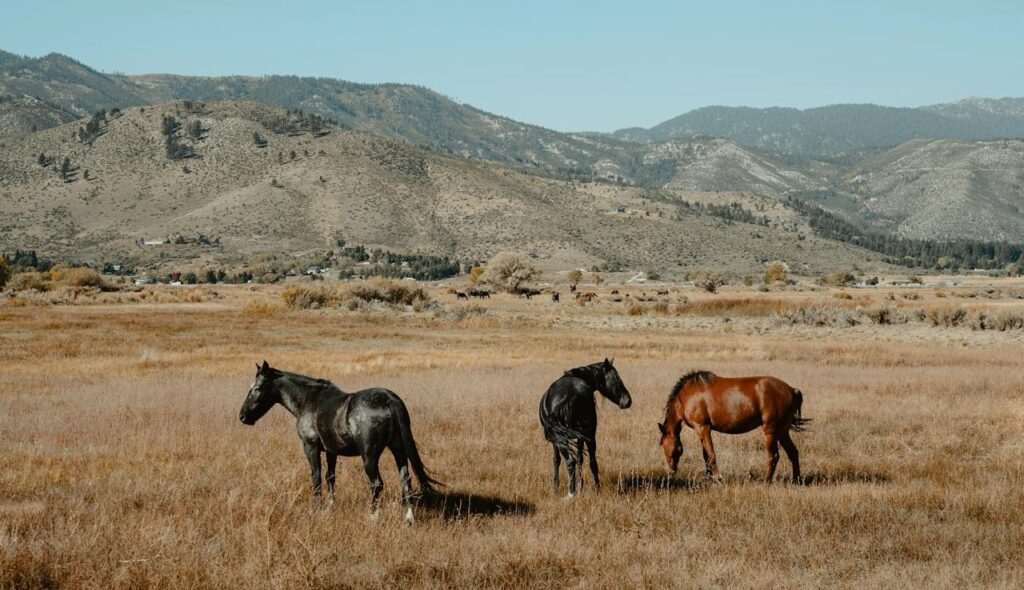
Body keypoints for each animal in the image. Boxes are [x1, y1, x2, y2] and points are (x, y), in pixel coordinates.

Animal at [238, 361, 441, 523]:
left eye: (257, 388)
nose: (242, 416)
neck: (309, 400)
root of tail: (389, 400)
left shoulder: (310, 447)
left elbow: (316, 477)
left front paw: (318, 509)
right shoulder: (331, 451)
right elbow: (330, 477)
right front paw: (330, 506)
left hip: (370, 457)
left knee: (377, 483)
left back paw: (373, 516)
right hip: (398, 449)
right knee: (405, 479)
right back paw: (409, 517)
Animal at [539, 359, 632, 498]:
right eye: (616, 379)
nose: (628, 401)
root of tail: (571, 394)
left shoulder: (562, 439)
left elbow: (561, 460)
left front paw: (559, 487)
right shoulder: (572, 437)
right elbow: (573, 459)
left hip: (576, 437)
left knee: (573, 461)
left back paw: (573, 492)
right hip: (585, 435)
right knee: (589, 462)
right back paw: (589, 490)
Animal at [658, 371, 808, 483]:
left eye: (664, 445)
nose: (671, 472)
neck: (684, 396)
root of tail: (792, 390)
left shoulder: (703, 428)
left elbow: (711, 454)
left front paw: (718, 478)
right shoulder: (701, 430)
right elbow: (706, 455)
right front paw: (709, 477)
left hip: (771, 431)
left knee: (774, 456)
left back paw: (766, 481)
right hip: (782, 431)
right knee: (793, 453)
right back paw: (796, 480)